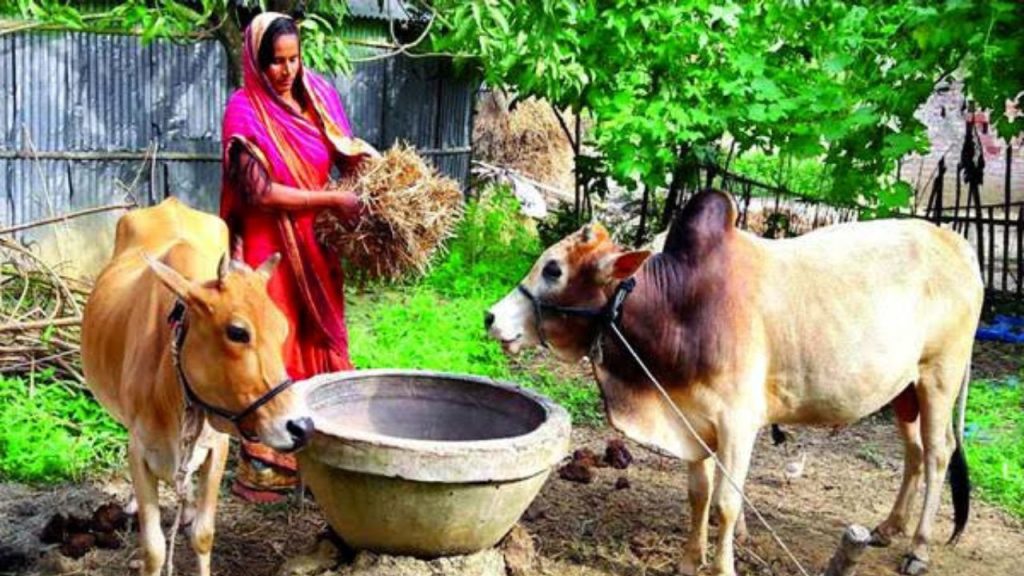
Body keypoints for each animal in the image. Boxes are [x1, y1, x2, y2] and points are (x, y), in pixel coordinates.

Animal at [81, 197, 313, 576]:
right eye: (237, 332)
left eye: (283, 328)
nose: (301, 426)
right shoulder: (139, 450)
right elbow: (154, 548)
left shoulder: (217, 447)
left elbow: (203, 535)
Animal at [485, 190, 980, 576]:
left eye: (553, 270)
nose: (491, 317)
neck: (682, 306)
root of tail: (959, 244)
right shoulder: (690, 419)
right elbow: (698, 495)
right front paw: (689, 560)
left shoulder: (738, 423)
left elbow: (726, 503)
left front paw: (721, 566)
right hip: (904, 390)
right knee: (913, 453)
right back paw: (888, 528)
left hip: (940, 377)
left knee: (937, 454)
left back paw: (918, 548)